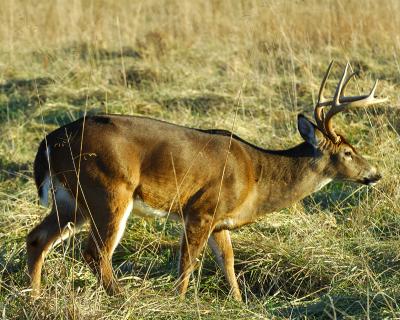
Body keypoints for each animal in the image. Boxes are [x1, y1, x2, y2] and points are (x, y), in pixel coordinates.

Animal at [26, 60, 386, 302]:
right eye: (348, 151)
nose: (375, 174)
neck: (255, 175)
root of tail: (50, 142)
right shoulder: (201, 209)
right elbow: (187, 262)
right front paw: (179, 301)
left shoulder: (220, 221)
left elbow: (228, 262)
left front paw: (239, 302)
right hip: (107, 189)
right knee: (95, 252)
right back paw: (121, 297)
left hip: (72, 199)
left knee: (37, 238)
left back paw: (34, 295)